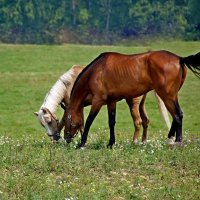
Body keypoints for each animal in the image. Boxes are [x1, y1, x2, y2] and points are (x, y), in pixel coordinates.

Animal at [34, 65, 170, 142]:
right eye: (43, 124)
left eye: (49, 122)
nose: (53, 137)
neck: (69, 83)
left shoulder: (75, 107)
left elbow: (80, 123)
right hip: (141, 104)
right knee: (146, 121)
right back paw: (143, 142)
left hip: (133, 103)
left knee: (138, 122)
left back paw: (134, 142)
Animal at [64, 50, 200, 147]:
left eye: (66, 120)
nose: (66, 138)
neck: (97, 70)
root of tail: (179, 59)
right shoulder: (111, 101)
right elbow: (111, 122)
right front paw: (111, 143)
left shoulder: (98, 100)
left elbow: (89, 120)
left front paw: (82, 143)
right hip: (172, 96)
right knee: (177, 115)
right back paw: (170, 139)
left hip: (167, 95)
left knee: (177, 115)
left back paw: (177, 141)